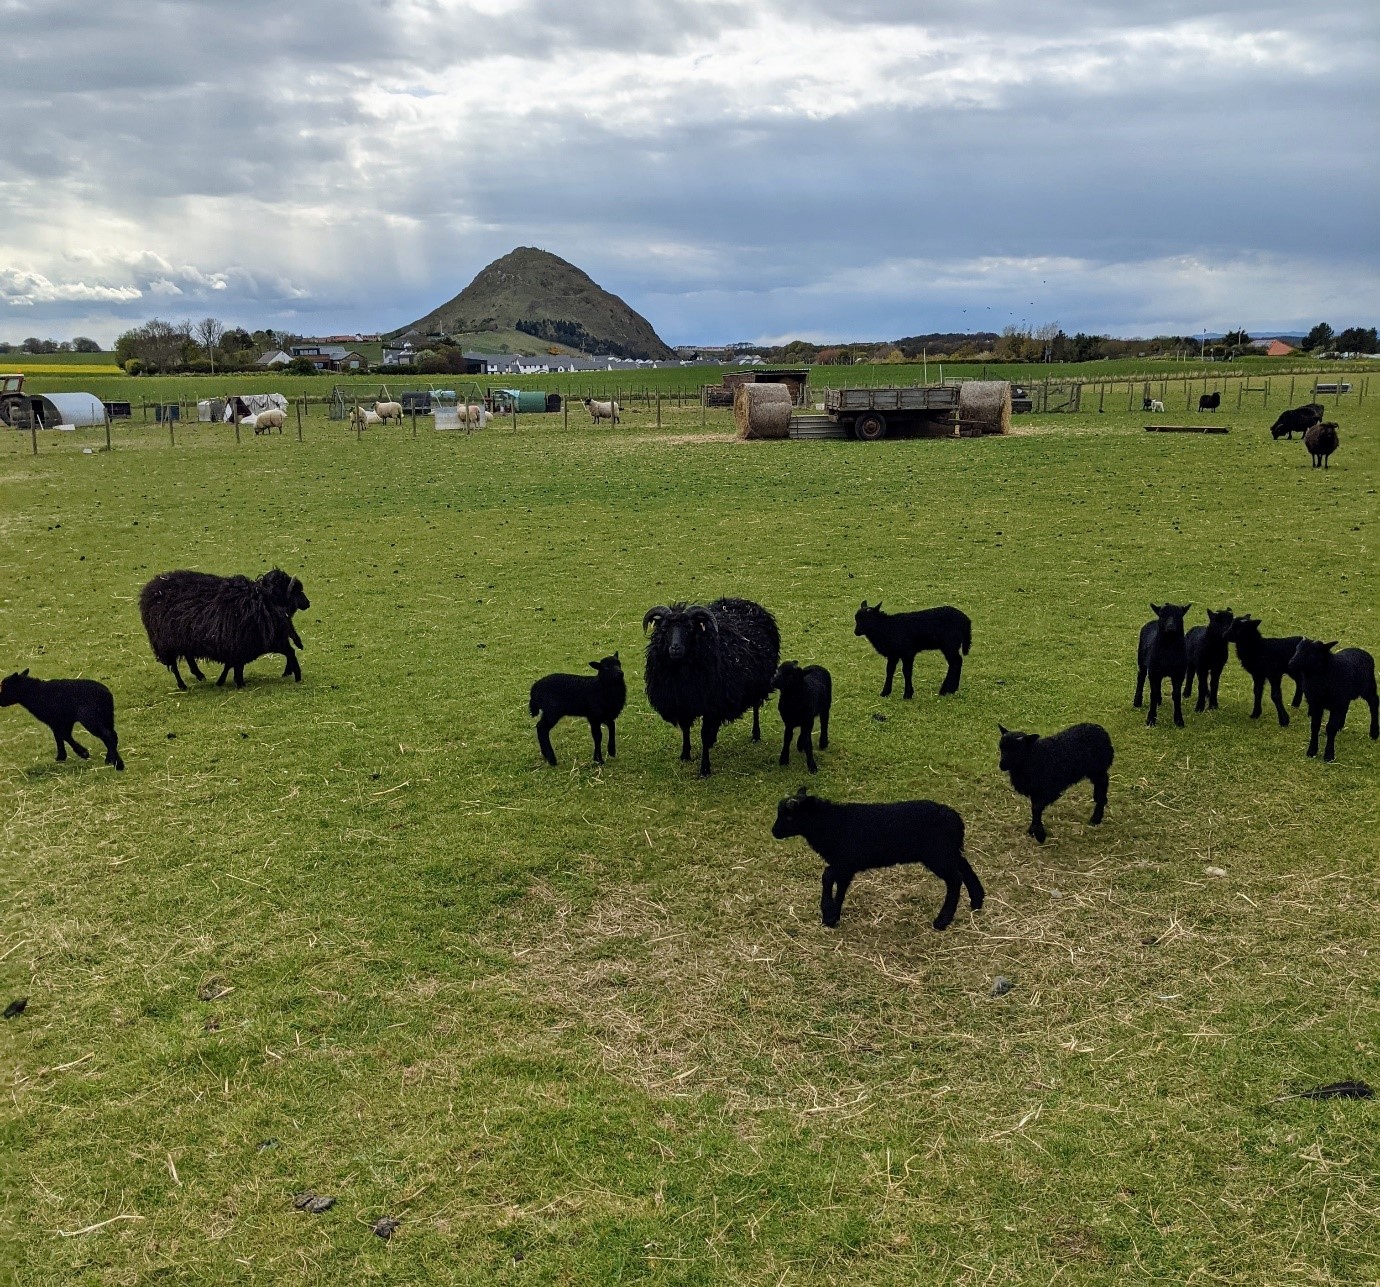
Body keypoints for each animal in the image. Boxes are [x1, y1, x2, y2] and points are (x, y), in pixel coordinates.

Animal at [643, 595, 783, 772]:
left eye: (689, 629)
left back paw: (755, 734)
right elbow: (686, 730)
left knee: (756, 707)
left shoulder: (712, 706)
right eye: (665, 629)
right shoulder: (682, 703)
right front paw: (685, 754)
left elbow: (704, 736)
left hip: (758, 684)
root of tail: (745, 602)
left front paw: (705, 768)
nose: (675, 648)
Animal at [772, 789, 988, 926]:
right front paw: (833, 916)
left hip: (938, 855)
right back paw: (977, 901)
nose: (774, 832)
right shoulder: (846, 866)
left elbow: (827, 877)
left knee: (955, 879)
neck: (832, 822)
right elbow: (840, 888)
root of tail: (957, 820)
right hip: (948, 851)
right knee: (965, 868)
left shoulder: (845, 861)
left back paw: (942, 920)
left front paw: (827, 913)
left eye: (789, 816)